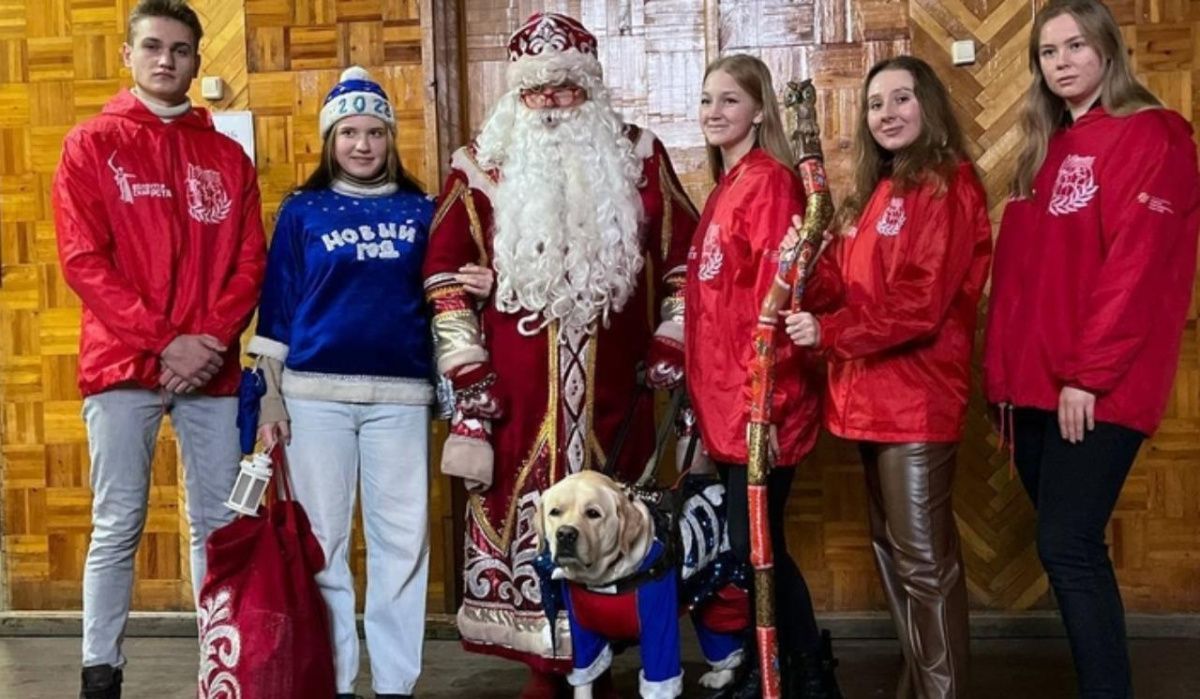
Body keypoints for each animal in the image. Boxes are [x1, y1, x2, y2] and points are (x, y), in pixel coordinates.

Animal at [535, 470, 739, 699]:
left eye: (593, 513)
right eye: (555, 512)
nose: (565, 534)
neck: (605, 580)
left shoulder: (659, 626)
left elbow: (660, 683)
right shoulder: (583, 632)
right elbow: (584, 680)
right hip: (707, 590)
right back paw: (722, 674)